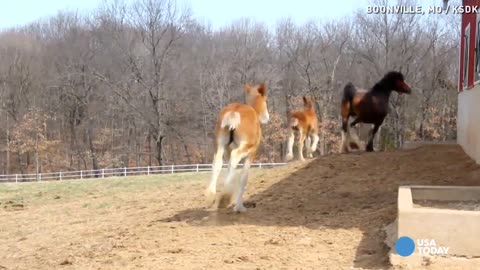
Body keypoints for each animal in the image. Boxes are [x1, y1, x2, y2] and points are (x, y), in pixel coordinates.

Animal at [205, 83, 270, 213]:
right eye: (265, 100)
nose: (267, 117)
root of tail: (234, 111)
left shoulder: (227, 152)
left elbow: (230, 168)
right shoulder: (252, 153)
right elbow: (244, 177)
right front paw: (239, 206)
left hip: (219, 146)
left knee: (218, 162)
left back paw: (212, 194)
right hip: (245, 147)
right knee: (234, 157)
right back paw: (225, 197)